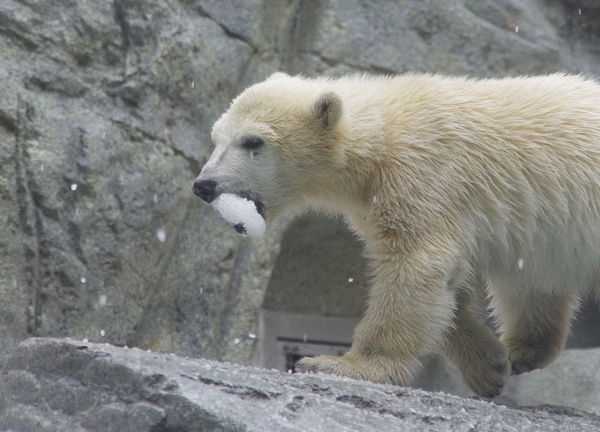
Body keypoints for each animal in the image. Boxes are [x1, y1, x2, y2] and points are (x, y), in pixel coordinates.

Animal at [193, 71, 600, 398]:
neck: (380, 134)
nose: (204, 185)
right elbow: (449, 283)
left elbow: (414, 265)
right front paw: (491, 364)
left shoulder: (424, 176)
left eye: (253, 142)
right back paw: (525, 347)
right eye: (216, 137)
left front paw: (338, 364)